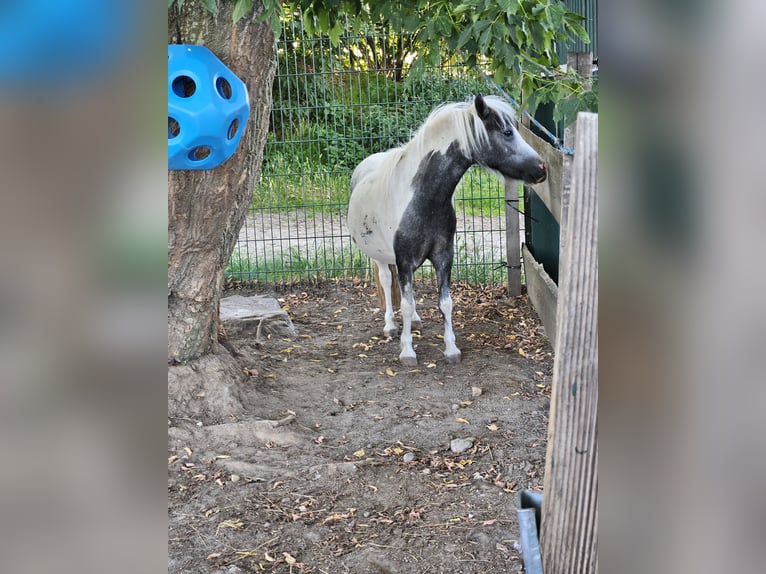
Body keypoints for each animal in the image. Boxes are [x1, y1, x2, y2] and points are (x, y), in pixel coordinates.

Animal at [348, 94, 544, 364]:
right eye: (506, 132)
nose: (542, 169)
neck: (421, 198)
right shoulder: (405, 260)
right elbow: (406, 304)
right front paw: (407, 351)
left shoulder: (444, 257)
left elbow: (445, 303)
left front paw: (451, 349)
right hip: (380, 256)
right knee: (387, 282)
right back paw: (390, 326)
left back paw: (415, 321)